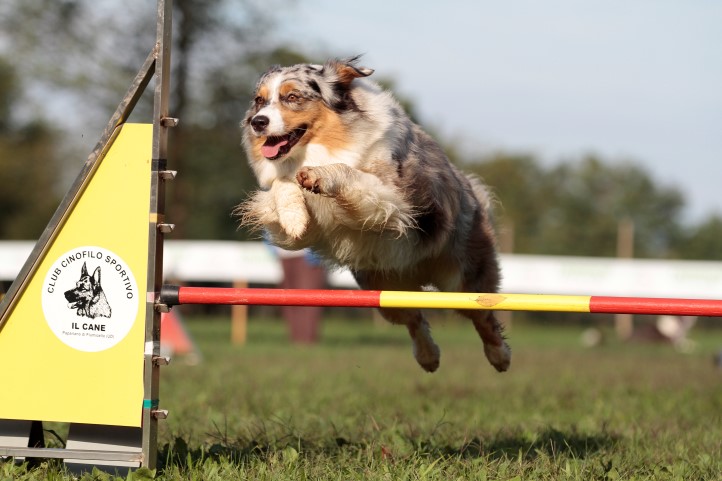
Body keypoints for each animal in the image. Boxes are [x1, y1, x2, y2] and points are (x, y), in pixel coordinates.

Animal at [239, 57, 510, 372]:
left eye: (292, 97)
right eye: (259, 101)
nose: (258, 122)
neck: (320, 148)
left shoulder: (396, 197)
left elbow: (347, 171)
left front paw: (321, 176)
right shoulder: (309, 221)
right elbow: (284, 188)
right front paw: (294, 217)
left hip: (462, 280)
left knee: (483, 315)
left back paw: (500, 355)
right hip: (384, 289)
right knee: (415, 319)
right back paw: (428, 356)